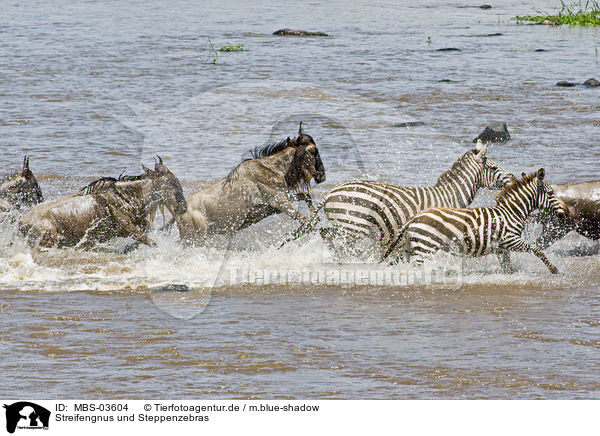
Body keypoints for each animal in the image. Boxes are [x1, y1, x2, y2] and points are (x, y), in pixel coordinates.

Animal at [280, 140, 510, 258]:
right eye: (493, 168)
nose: (512, 180)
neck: (448, 197)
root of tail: (332, 191)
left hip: (347, 226)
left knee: (326, 234)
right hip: (351, 226)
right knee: (328, 235)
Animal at [382, 169, 568, 274]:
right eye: (551, 193)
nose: (566, 210)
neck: (511, 212)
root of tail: (413, 218)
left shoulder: (501, 249)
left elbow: (507, 267)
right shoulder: (511, 240)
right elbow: (537, 250)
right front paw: (554, 269)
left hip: (411, 246)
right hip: (424, 247)